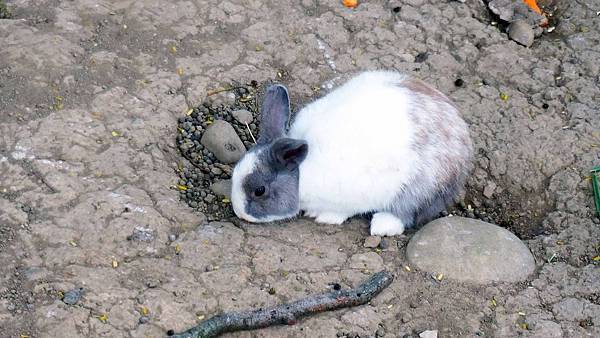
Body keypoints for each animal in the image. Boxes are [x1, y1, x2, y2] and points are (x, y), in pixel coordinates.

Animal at [231, 71, 474, 235]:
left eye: (260, 191)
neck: (301, 174)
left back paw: (382, 225)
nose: (239, 213)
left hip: (419, 189)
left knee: (407, 212)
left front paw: (324, 217)